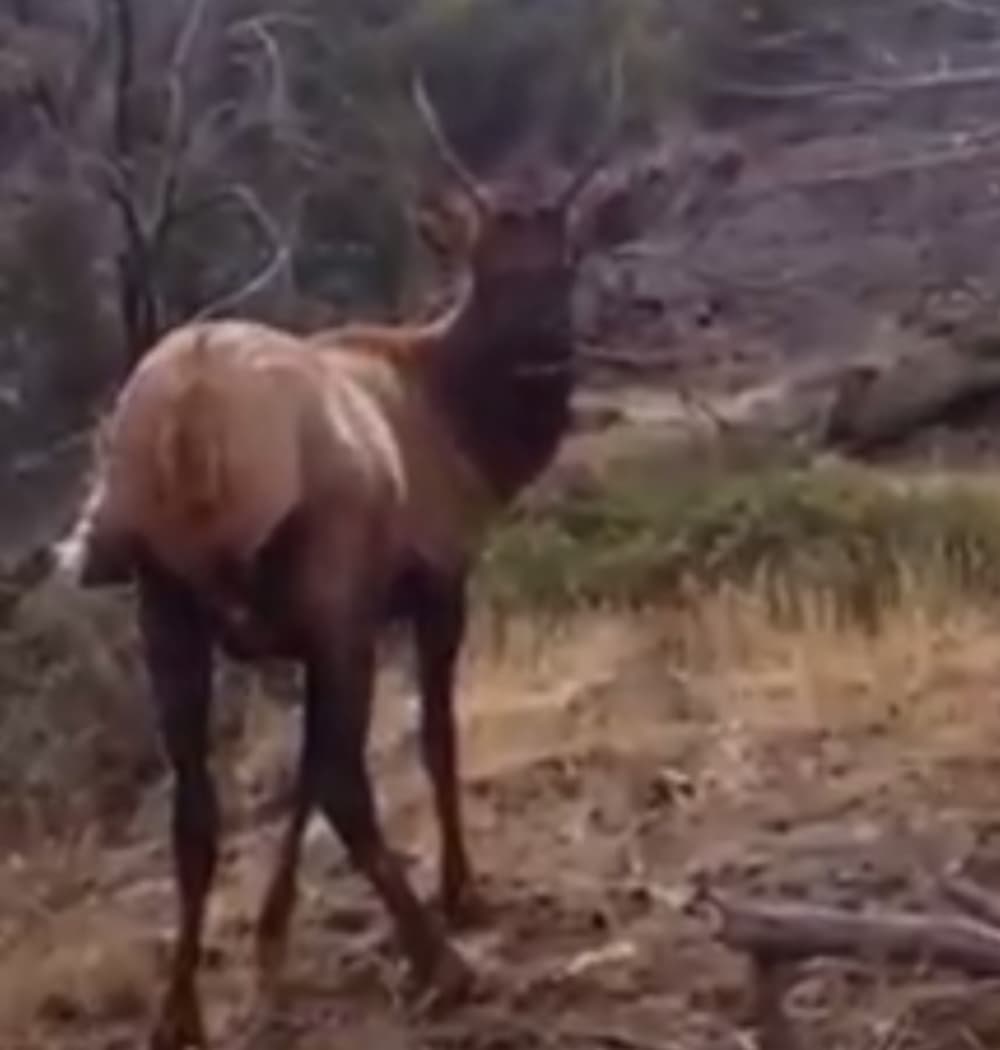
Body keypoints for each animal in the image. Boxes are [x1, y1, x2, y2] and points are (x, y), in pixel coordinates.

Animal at [51, 74, 621, 1050]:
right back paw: (443, 963)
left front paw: (270, 941)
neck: (471, 445)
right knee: (346, 781)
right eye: (491, 271)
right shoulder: (432, 580)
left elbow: (299, 778)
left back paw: (178, 1012)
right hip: (325, 574)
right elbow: (428, 738)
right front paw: (463, 889)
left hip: (168, 603)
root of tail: (188, 425)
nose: (547, 347)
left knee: (196, 809)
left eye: (565, 263)